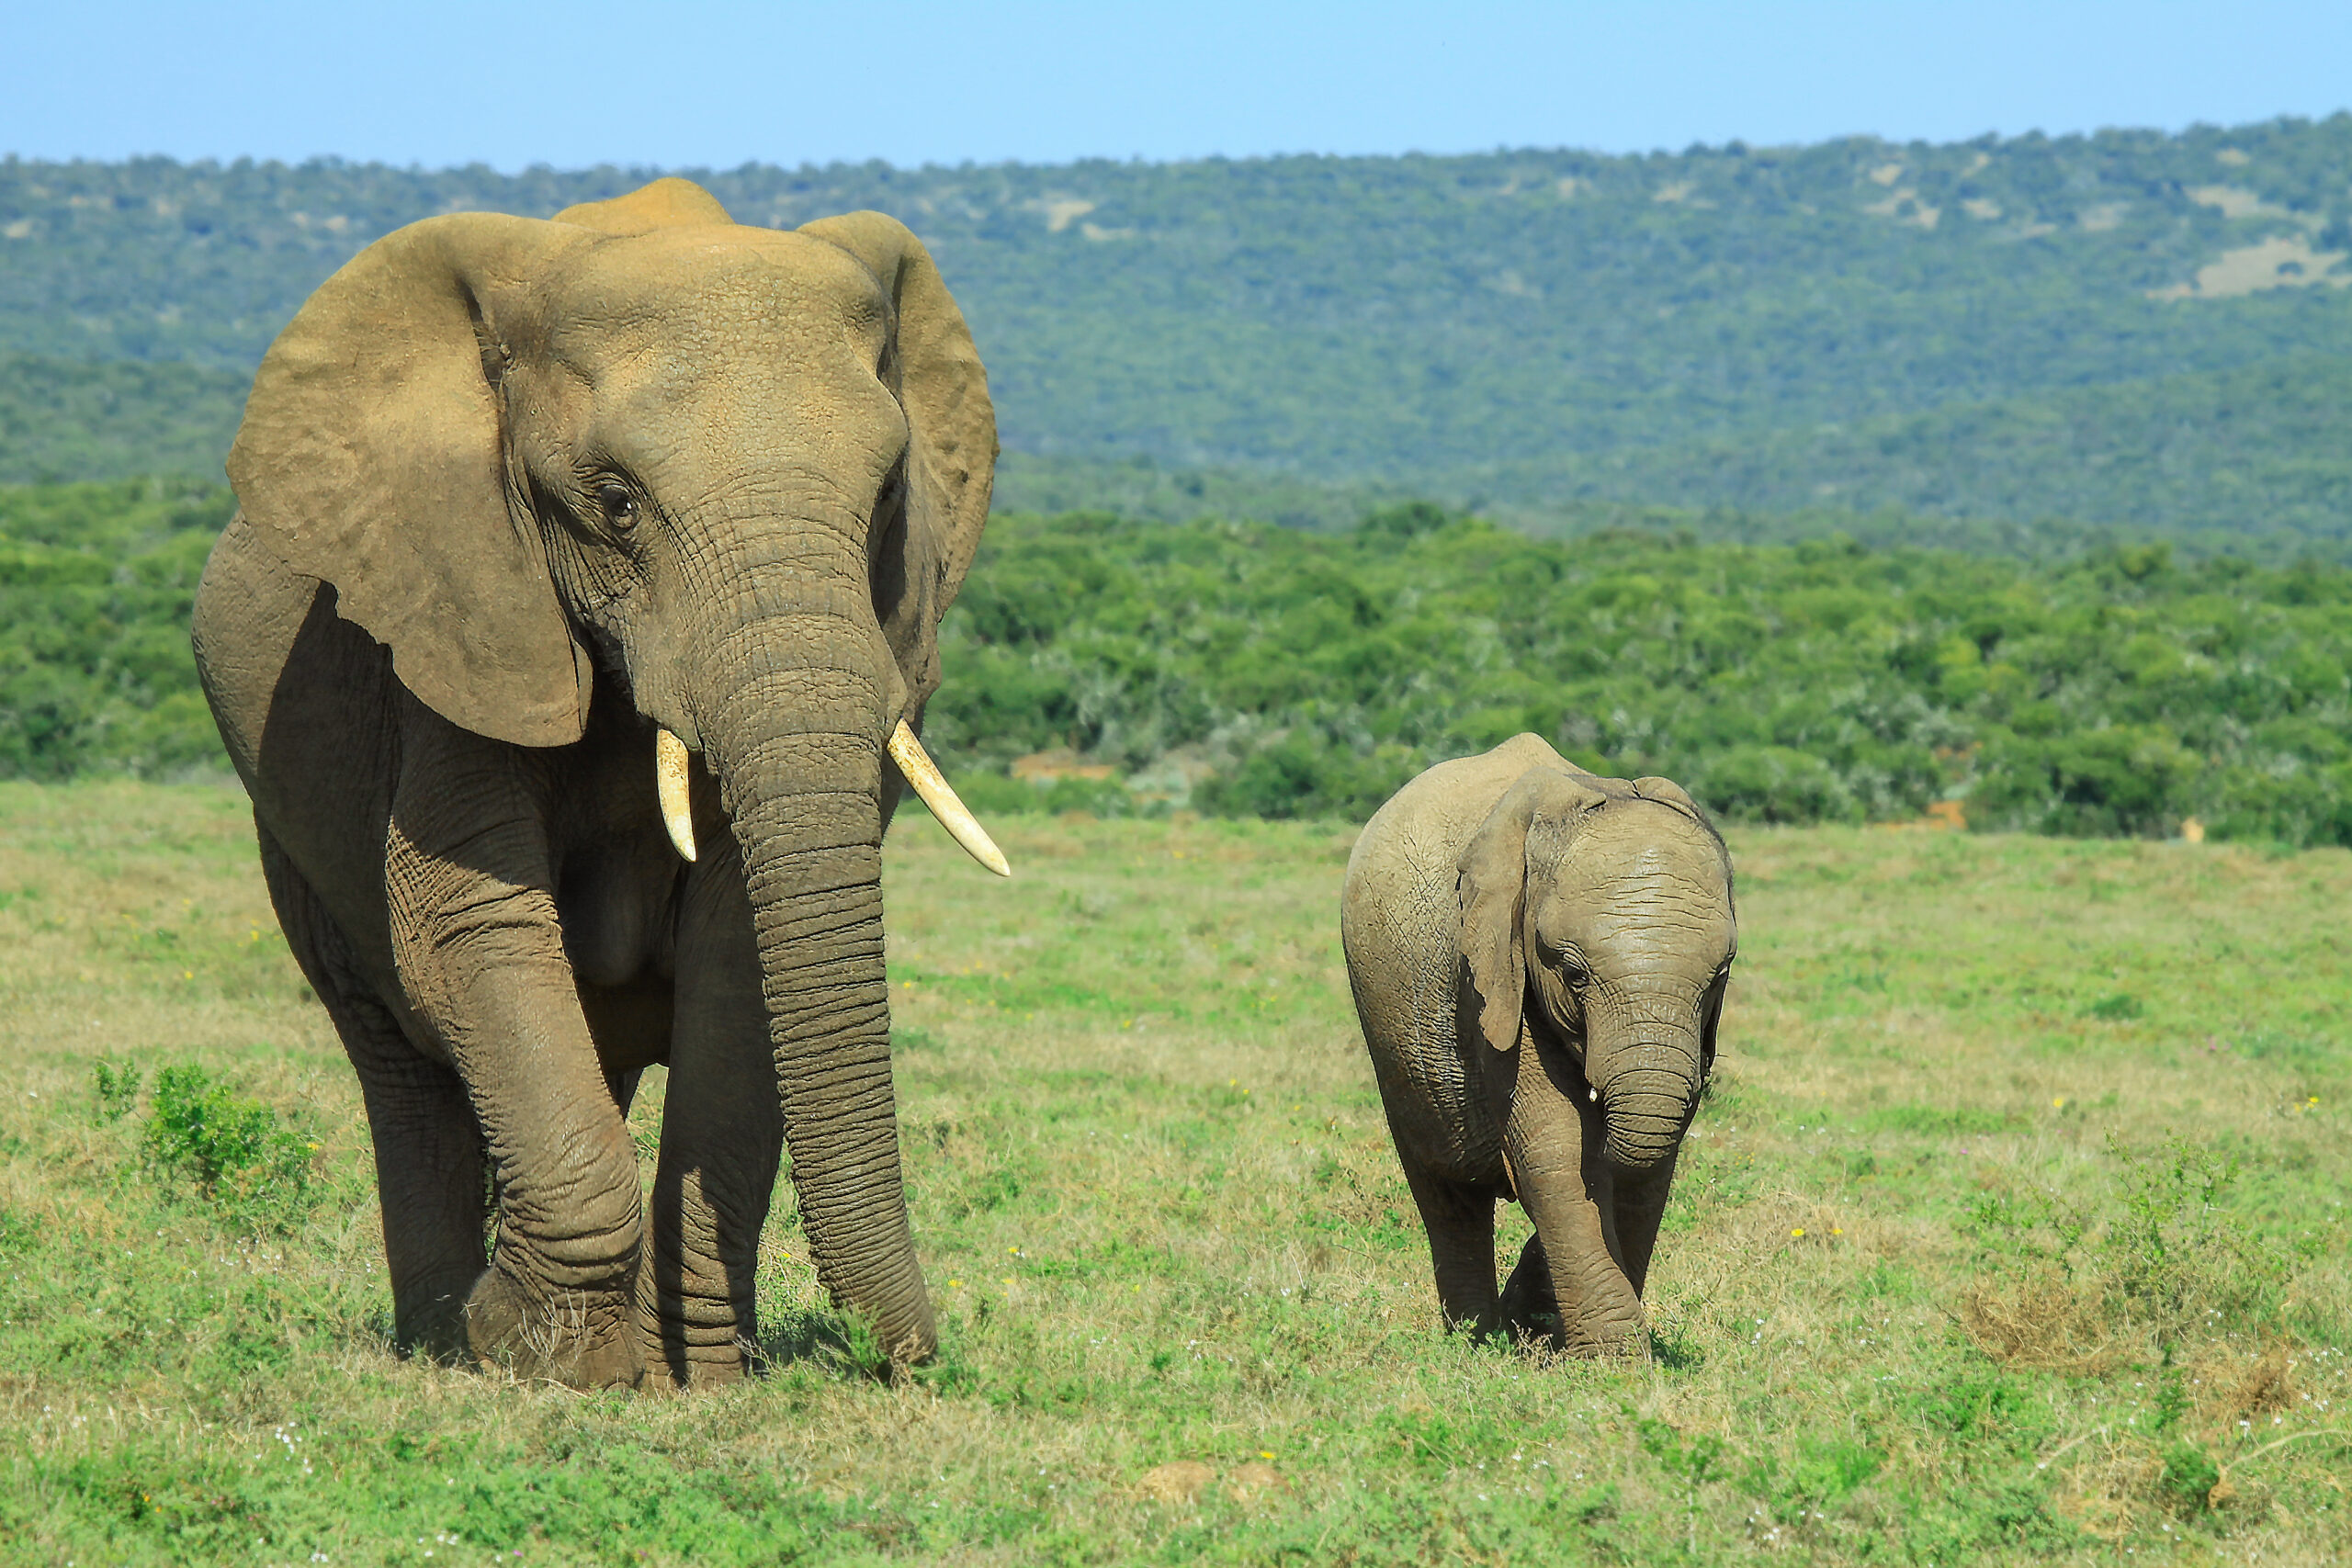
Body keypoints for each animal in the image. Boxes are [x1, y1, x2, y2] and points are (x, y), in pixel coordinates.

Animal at [198, 177, 1006, 1392]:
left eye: (882, 501)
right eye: (616, 503)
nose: (917, 1357)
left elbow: (740, 952)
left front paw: (693, 1378)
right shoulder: (460, 608)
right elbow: (470, 927)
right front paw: (539, 1357)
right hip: (291, 839)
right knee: (399, 1059)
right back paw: (439, 1336)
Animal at [1345, 738, 1731, 1363]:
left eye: (1720, 977)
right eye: (1573, 974)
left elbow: (1649, 1168)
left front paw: (1549, 1332)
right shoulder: (1492, 970)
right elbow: (1557, 1148)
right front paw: (1612, 1361)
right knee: (1445, 1195)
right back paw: (1476, 1340)